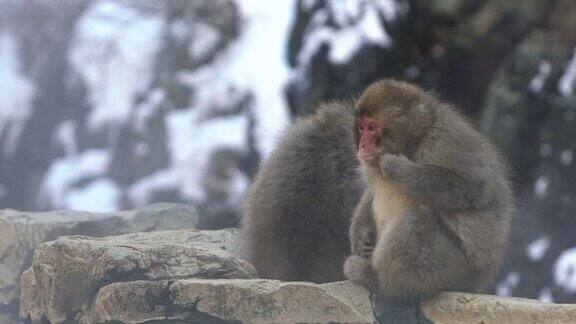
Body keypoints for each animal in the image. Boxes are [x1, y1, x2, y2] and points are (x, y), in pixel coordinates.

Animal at [344, 79, 516, 300]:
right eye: (361, 126)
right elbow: (371, 192)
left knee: (420, 218)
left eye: (372, 128)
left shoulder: (444, 142)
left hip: (451, 270)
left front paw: (396, 167)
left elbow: (474, 188)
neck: (416, 140)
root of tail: (475, 284)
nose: (362, 145)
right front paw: (359, 233)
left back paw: (377, 281)